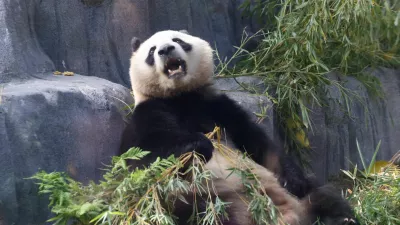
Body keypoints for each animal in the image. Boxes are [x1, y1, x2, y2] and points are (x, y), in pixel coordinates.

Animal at [119, 29, 360, 225]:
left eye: (178, 40)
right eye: (151, 51)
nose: (166, 50)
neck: (181, 96)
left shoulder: (217, 106)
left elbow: (260, 144)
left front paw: (292, 179)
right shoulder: (149, 113)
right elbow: (145, 157)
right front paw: (199, 144)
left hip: (300, 199)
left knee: (324, 196)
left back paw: (341, 219)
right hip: (213, 201)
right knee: (208, 213)